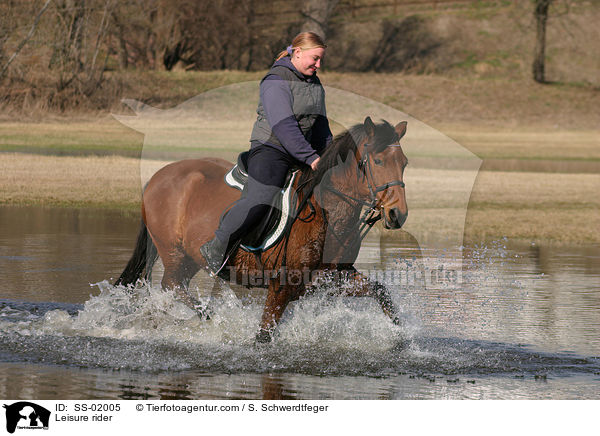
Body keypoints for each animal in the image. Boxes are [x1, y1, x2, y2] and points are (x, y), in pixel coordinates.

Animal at [116, 117, 408, 342]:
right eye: (378, 162)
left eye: (404, 162)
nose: (398, 214)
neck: (327, 212)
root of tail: (158, 176)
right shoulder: (281, 287)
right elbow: (264, 336)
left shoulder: (333, 279)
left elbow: (382, 293)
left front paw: (402, 339)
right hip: (173, 251)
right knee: (172, 285)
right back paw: (213, 319)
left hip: (189, 258)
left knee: (175, 286)